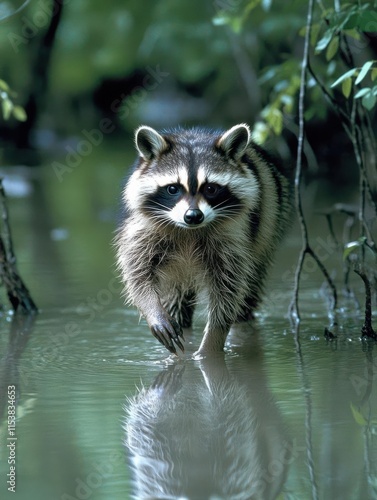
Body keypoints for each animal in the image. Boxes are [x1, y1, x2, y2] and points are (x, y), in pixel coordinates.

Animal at [116, 122, 292, 354]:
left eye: (210, 188)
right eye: (172, 188)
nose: (193, 216)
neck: (189, 230)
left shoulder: (235, 235)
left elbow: (229, 287)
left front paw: (210, 346)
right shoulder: (146, 229)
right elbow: (137, 271)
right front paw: (153, 309)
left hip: (269, 226)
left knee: (248, 291)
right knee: (177, 300)